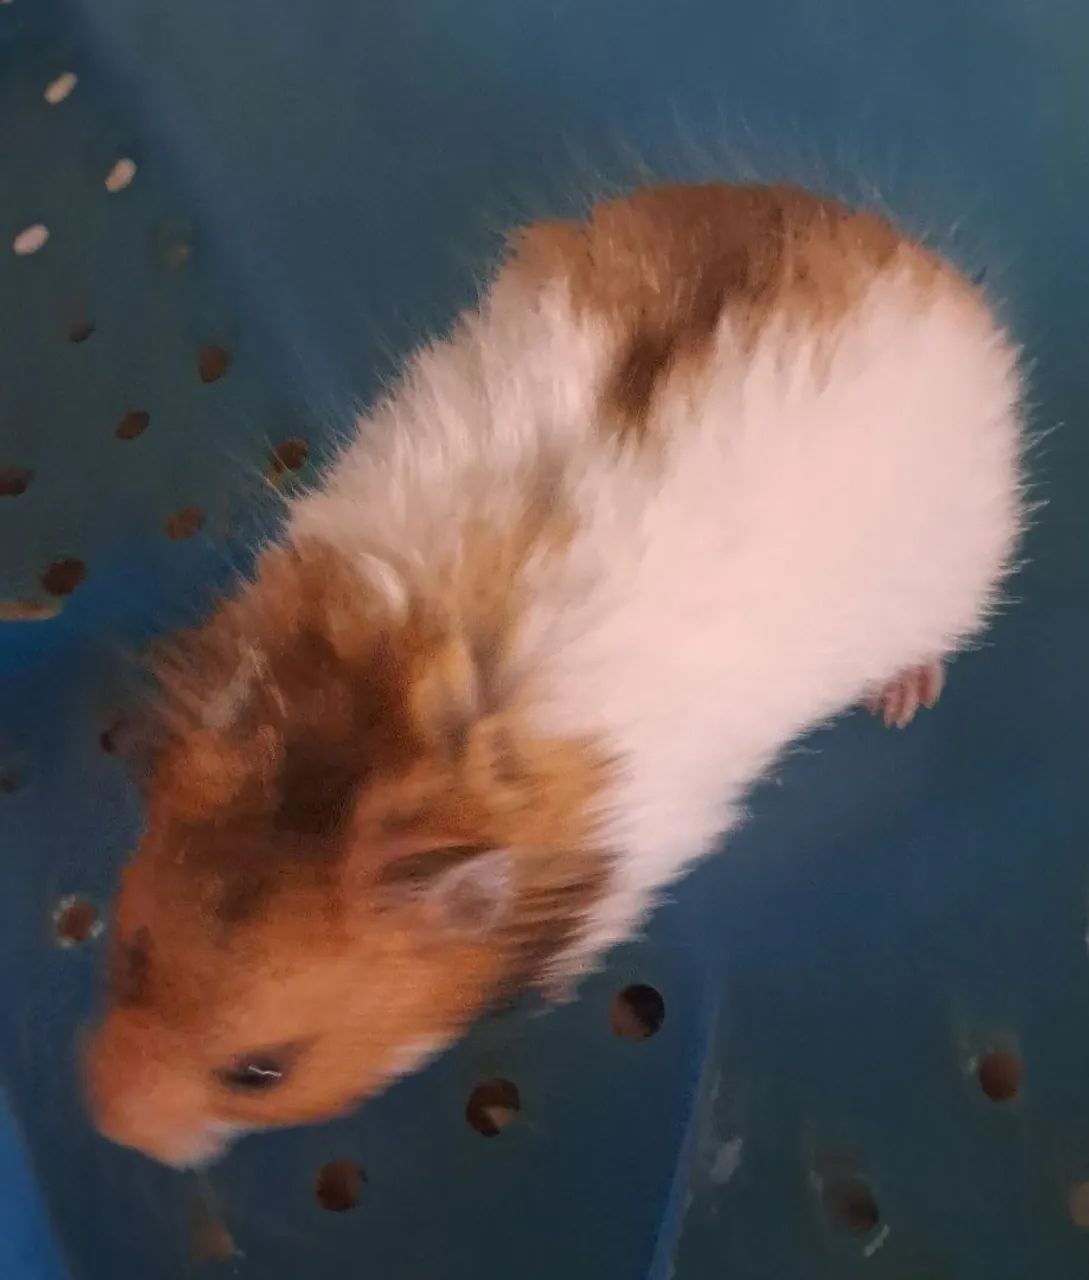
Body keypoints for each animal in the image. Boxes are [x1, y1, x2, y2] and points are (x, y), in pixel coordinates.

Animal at [84, 183, 1026, 1167]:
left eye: (261, 1074)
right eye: (131, 953)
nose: (105, 1125)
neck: (378, 741)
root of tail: (931, 270)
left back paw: (903, 699)